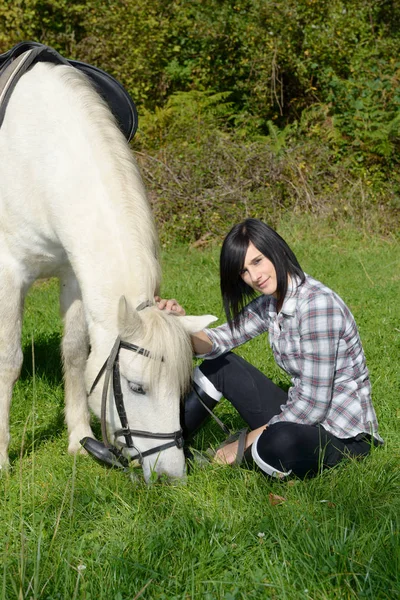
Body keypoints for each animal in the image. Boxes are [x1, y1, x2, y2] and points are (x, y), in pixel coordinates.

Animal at [0, 61, 216, 482]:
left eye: (183, 388)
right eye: (136, 387)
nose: (171, 475)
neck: (40, 155)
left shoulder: (74, 275)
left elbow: (74, 354)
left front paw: (77, 439)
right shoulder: (9, 271)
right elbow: (9, 361)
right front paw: (0, 457)